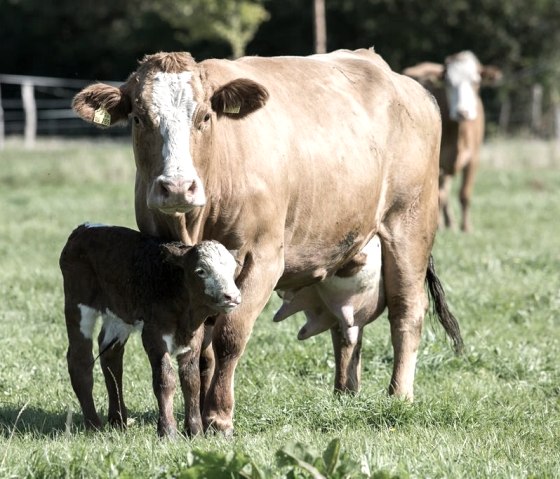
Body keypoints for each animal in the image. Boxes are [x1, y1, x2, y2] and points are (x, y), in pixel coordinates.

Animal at [59, 223, 241, 436]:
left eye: (233, 269)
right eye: (201, 271)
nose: (232, 296)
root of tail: (84, 228)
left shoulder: (194, 336)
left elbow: (191, 381)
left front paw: (194, 431)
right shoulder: (154, 335)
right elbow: (165, 378)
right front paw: (168, 431)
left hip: (118, 315)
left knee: (111, 357)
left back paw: (118, 420)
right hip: (78, 304)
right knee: (80, 360)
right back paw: (93, 424)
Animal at [402, 51, 504, 232]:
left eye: (476, 81)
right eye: (448, 83)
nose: (462, 112)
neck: (460, 133)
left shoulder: (474, 158)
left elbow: (465, 193)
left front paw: (466, 227)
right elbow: (439, 196)